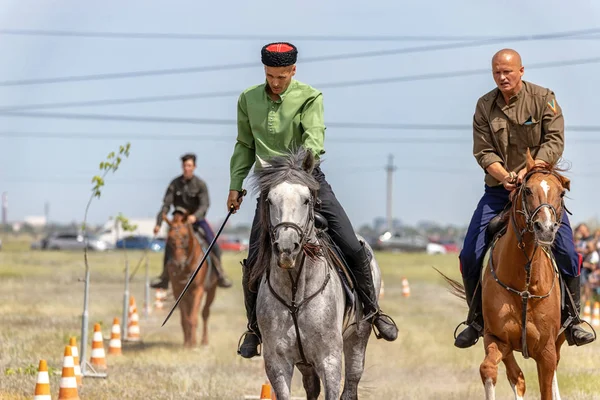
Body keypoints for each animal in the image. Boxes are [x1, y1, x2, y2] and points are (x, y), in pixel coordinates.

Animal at [163, 212, 219, 346]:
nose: (178, 264)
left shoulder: (198, 291)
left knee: (205, 313)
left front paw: (193, 343)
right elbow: (185, 318)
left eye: (185, 236)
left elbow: (193, 318)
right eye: (169, 238)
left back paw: (204, 341)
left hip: (211, 291)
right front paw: (187, 343)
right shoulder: (178, 292)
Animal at [250, 148, 384, 400]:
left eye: (305, 199)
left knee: (352, 382)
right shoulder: (277, 362)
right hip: (305, 362)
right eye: (269, 200)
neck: (295, 291)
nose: (286, 248)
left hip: (358, 338)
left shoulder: (329, 360)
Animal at [442, 151, 576, 400]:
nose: (546, 229)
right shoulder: (496, 339)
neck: (524, 283)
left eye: (561, 193)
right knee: (518, 377)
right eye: (527, 190)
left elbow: (546, 386)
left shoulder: (546, 351)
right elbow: (492, 371)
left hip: (559, 342)